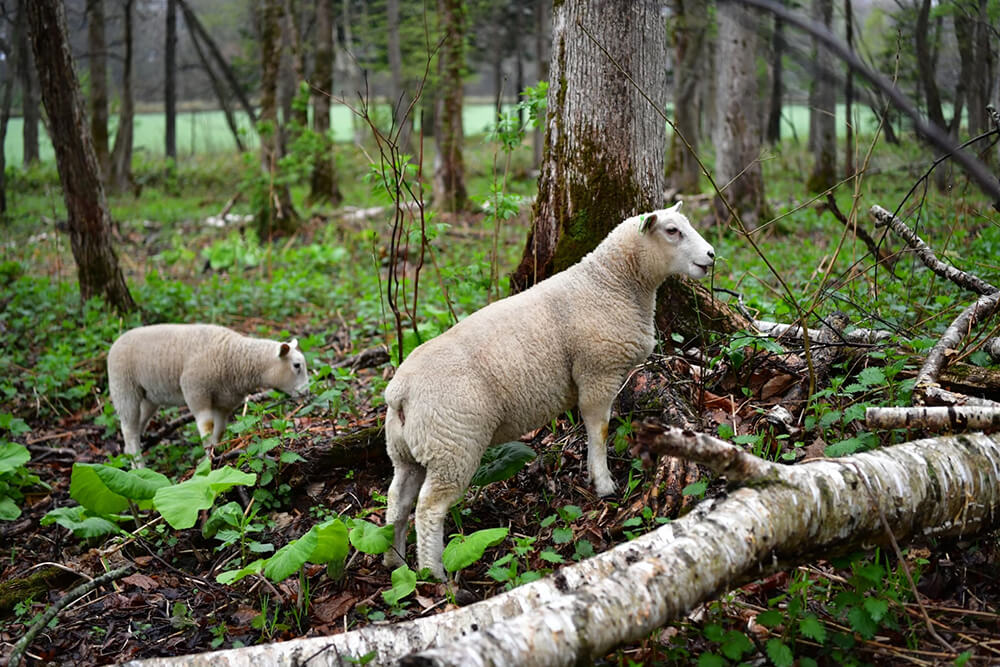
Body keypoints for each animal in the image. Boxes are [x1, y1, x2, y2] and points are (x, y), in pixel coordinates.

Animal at [105, 324, 308, 464]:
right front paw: (208, 461)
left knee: (136, 426)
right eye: (296, 365)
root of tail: (117, 341)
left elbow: (220, 430)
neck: (235, 358)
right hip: (123, 387)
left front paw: (216, 455)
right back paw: (139, 465)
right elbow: (207, 427)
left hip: (149, 397)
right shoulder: (196, 391)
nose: (306, 392)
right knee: (128, 429)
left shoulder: (224, 402)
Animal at [378, 202, 716, 580]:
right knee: (429, 508)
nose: (711, 255)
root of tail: (399, 392)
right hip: (452, 444)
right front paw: (603, 483)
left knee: (398, 500)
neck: (611, 283)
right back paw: (433, 572)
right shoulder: (597, 372)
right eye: (672, 231)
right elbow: (598, 429)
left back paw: (396, 560)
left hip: (407, 449)